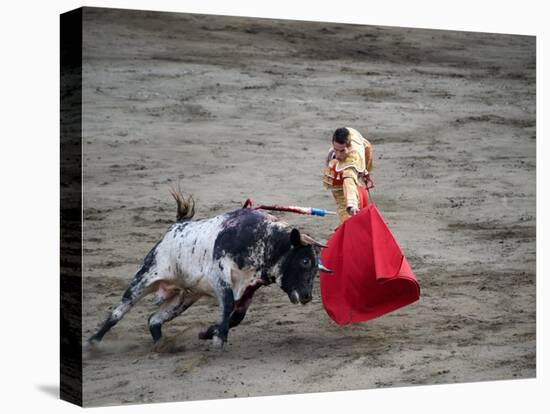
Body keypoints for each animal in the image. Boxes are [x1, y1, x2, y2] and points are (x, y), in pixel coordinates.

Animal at [88, 192, 326, 350]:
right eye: (305, 261)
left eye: (316, 267)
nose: (307, 296)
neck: (264, 239)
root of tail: (175, 227)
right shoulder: (218, 274)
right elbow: (228, 304)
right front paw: (218, 338)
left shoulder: (250, 287)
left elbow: (236, 316)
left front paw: (209, 332)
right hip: (145, 277)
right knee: (119, 312)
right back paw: (93, 342)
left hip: (183, 297)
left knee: (154, 319)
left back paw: (162, 346)